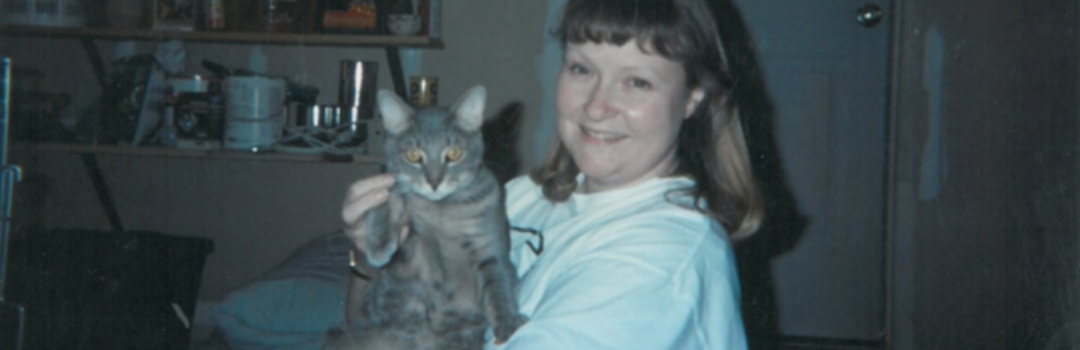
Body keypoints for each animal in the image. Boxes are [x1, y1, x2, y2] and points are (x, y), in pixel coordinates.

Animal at [324, 85, 527, 350]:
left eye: (454, 153)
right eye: (412, 155)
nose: (434, 182)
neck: (441, 211)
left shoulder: (491, 249)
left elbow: (499, 286)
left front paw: (508, 322)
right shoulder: (409, 255)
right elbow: (389, 198)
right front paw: (379, 245)